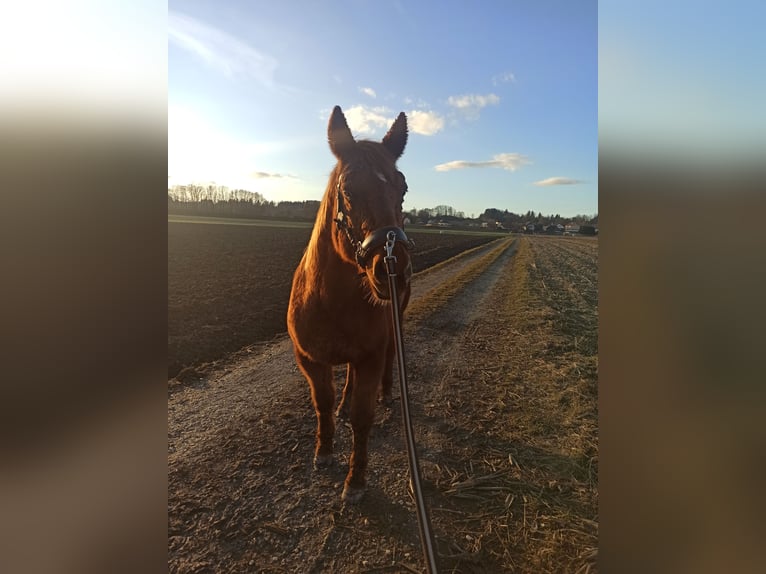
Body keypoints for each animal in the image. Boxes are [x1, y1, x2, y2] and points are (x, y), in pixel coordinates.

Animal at [286, 107, 414, 504]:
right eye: (347, 189)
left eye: (402, 188)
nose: (393, 269)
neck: (330, 300)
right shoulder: (309, 359)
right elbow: (323, 402)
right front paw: (324, 451)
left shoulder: (370, 356)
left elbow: (363, 416)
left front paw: (355, 480)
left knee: (386, 363)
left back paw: (387, 393)